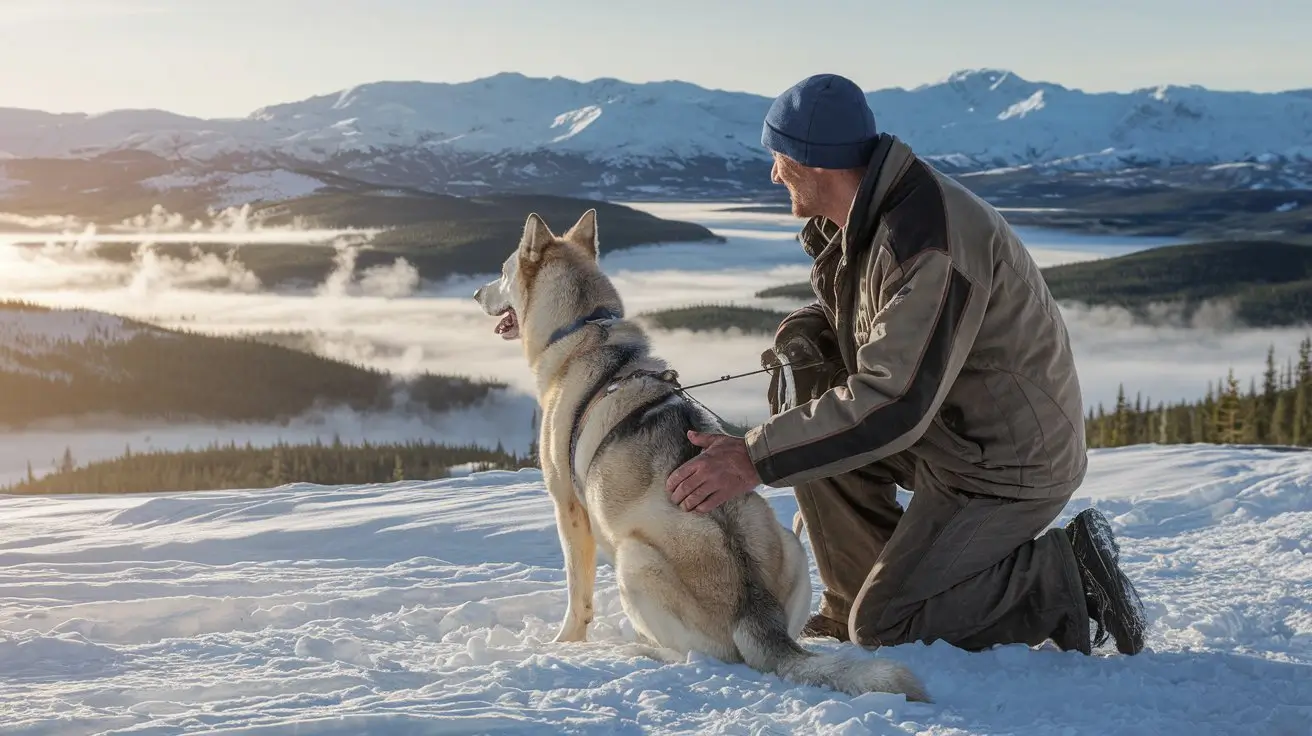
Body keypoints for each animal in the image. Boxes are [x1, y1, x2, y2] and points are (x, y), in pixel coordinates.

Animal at [477, 207, 928, 697]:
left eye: (502, 271)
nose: (477, 293)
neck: (585, 329)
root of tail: (754, 610)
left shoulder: (569, 508)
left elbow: (578, 595)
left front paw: (565, 642)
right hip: (790, 541)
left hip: (635, 562)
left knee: (692, 655)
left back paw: (641, 650)